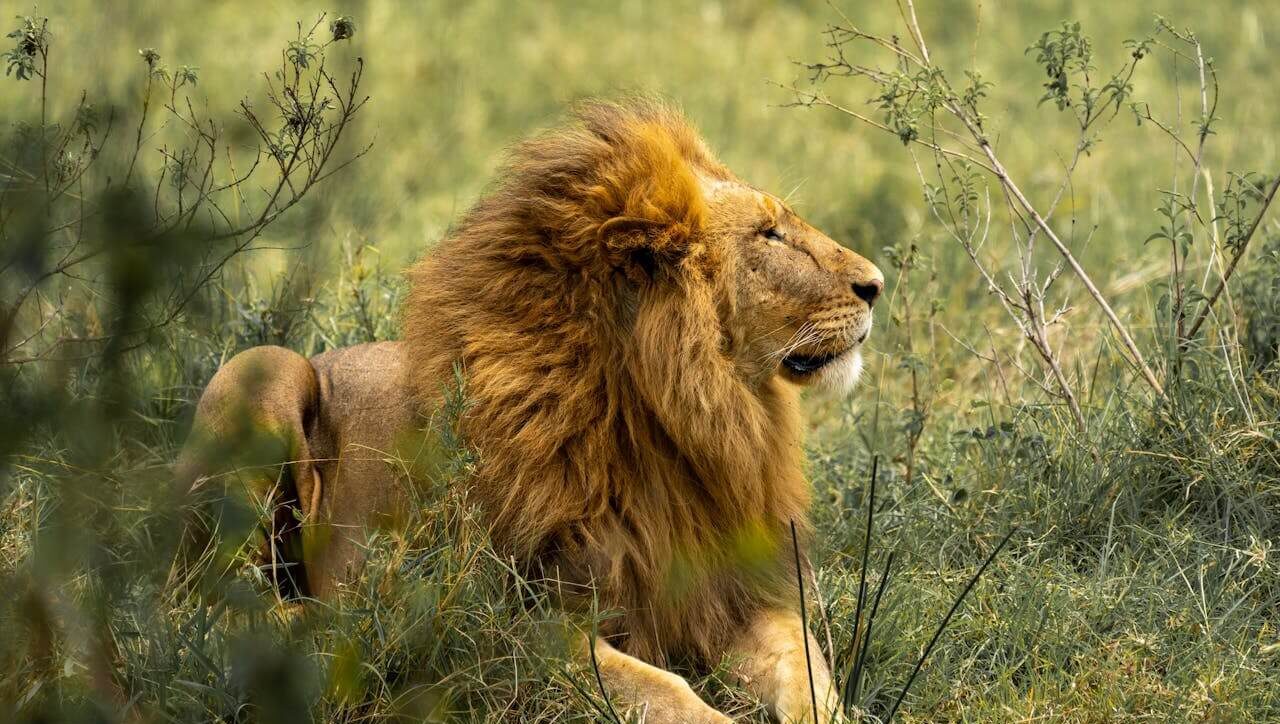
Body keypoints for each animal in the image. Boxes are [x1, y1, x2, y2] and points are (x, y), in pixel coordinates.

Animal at [176, 99, 883, 723]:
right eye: (770, 234)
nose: (877, 285)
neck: (678, 421)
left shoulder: (736, 592)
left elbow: (807, 671)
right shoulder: (508, 622)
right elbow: (664, 689)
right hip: (262, 370)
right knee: (203, 604)